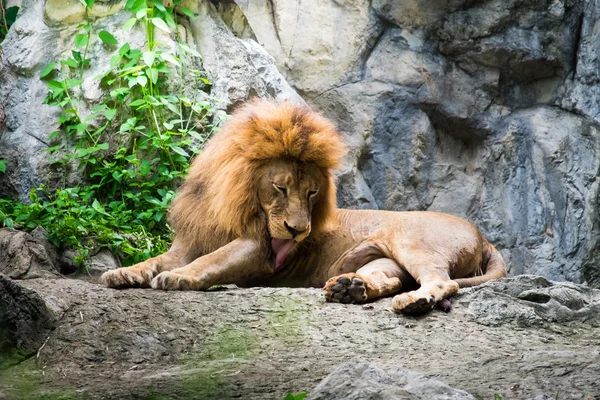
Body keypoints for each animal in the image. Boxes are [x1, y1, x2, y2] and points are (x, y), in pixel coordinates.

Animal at [102, 98, 506, 314]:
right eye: (281, 188)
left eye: (313, 193)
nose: (298, 231)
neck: (226, 203)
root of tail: (484, 237)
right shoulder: (185, 245)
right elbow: (154, 261)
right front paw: (122, 273)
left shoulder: (257, 249)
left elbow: (211, 260)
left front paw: (179, 278)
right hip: (381, 258)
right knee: (387, 278)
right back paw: (349, 289)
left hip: (411, 241)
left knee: (441, 282)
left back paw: (414, 302)